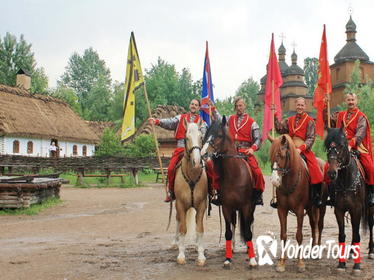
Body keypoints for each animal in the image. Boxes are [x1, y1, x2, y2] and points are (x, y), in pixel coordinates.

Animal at [202, 116, 258, 270]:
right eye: (207, 135)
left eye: (219, 135)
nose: (203, 153)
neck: (234, 175)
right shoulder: (227, 207)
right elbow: (227, 232)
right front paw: (227, 259)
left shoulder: (246, 206)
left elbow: (248, 232)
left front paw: (252, 260)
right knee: (233, 224)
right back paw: (232, 248)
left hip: (250, 207)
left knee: (250, 224)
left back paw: (248, 251)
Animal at [268, 135, 328, 272]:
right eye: (271, 156)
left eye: (281, 155)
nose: (274, 180)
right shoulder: (282, 210)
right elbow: (283, 234)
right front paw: (281, 263)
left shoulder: (300, 210)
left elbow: (299, 235)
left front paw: (300, 263)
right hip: (311, 208)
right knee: (313, 225)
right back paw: (312, 250)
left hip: (321, 207)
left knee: (319, 225)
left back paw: (317, 251)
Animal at [324, 128, 372, 274]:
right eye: (328, 147)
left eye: (341, 146)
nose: (332, 173)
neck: (346, 179)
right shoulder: (339, 210)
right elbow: (342, 235)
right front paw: (341, 264)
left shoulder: (356, 209)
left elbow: (357, 235)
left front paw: (357, 266)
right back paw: (351, 252)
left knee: (370, 225)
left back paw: (371, 250)